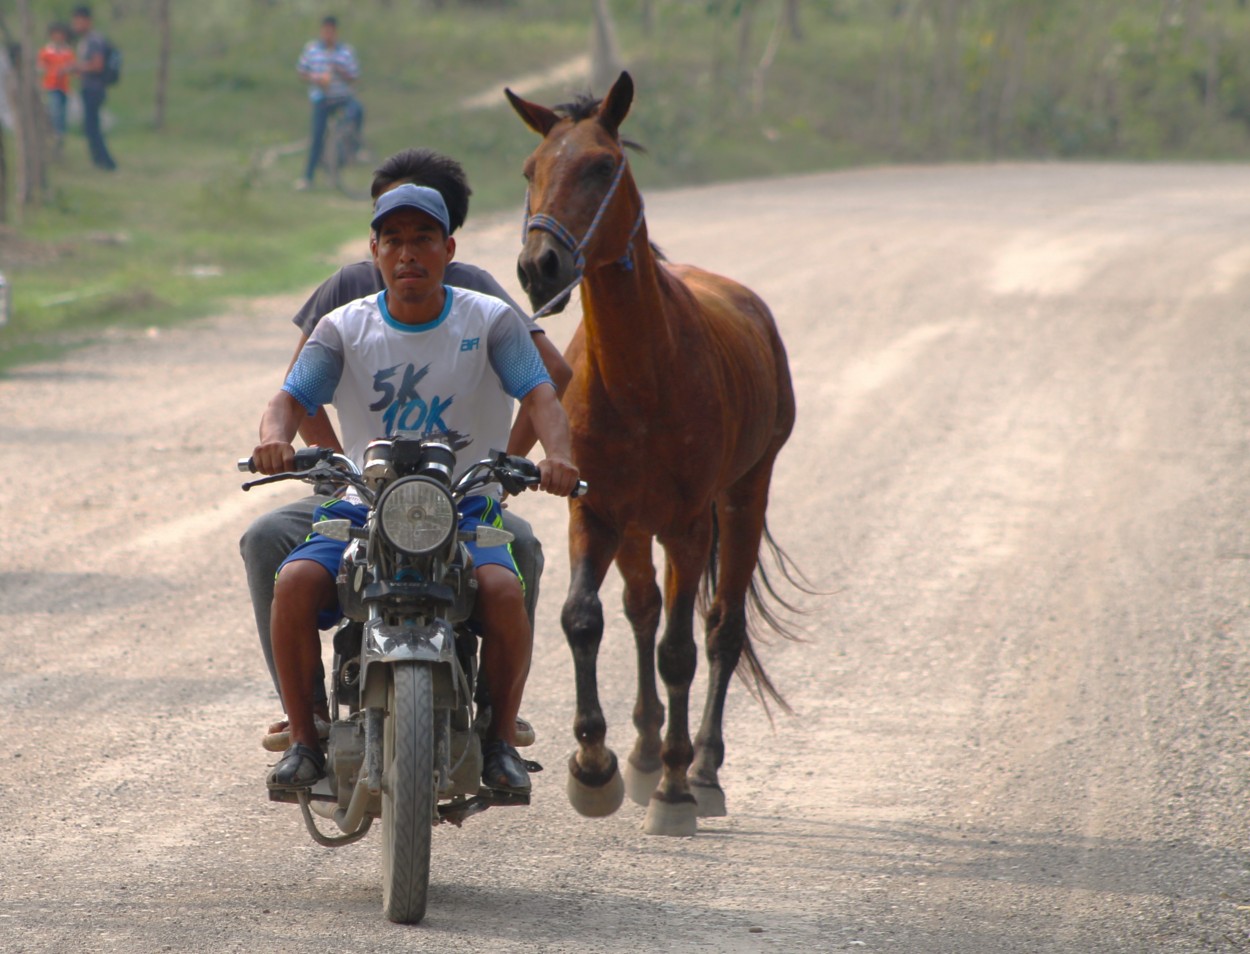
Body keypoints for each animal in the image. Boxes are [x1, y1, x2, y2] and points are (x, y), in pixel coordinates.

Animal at [507, 72, 800, 835]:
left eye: (600, 165)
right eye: (530, 170)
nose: (539, 266)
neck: (642, 377)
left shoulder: (691, 524)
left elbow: (680, 651)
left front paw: (675, 787)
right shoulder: (596, 513)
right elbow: (585, 619)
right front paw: (595, 764)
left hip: (744, 495)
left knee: (720, 630)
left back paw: (699, 769)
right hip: (637, 525)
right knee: (640, 611)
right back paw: (641, 755)